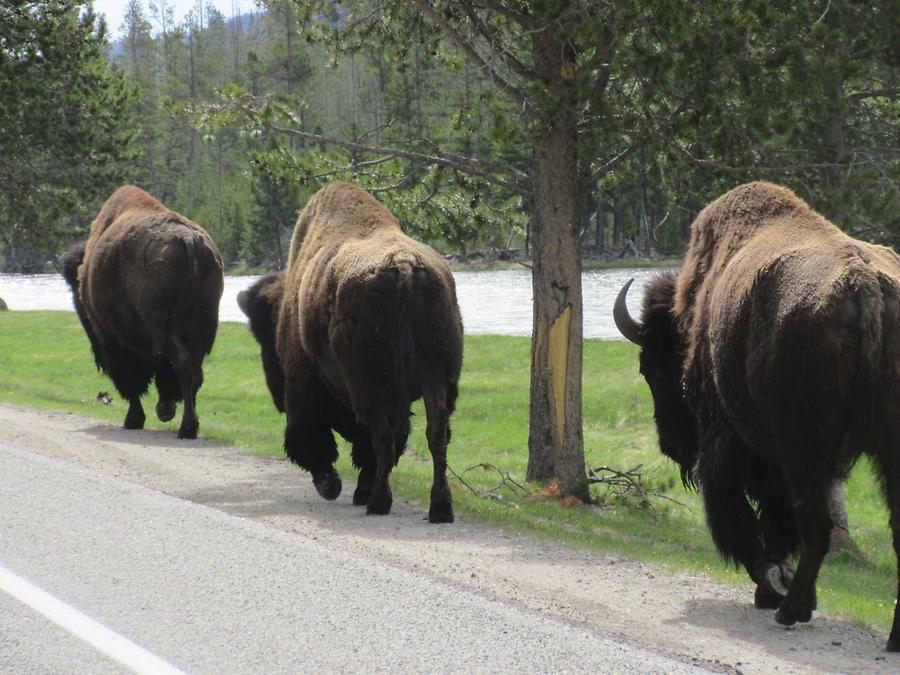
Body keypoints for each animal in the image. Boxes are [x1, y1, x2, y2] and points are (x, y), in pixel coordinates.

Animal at [60, 186, 224, 438]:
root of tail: (188, 240)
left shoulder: (113, 339)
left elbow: (130, 380)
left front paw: (133, 419)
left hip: (160, 324)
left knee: (181, 364)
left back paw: (186, 427)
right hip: (204, 322)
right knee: (195, 371)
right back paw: (188, 422)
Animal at [237, 181, 464, 524]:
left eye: (265, 339)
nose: (276, 395)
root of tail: (405, 265)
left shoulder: (305, 385)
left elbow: (314, 436)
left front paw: (331, 485)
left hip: (372, 384)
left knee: (382, 436)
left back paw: (378, 501)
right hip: (438, 377)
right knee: (436, 434)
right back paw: (440, 507)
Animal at [616, 182, 900, 652]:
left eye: (650, 366)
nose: (669, 443)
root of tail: (866, 286)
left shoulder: (732, 444)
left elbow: (739, 514)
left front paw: (769, 582)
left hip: (804, 452)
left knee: (814, 524)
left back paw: (792, 609)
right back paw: (890, 637)